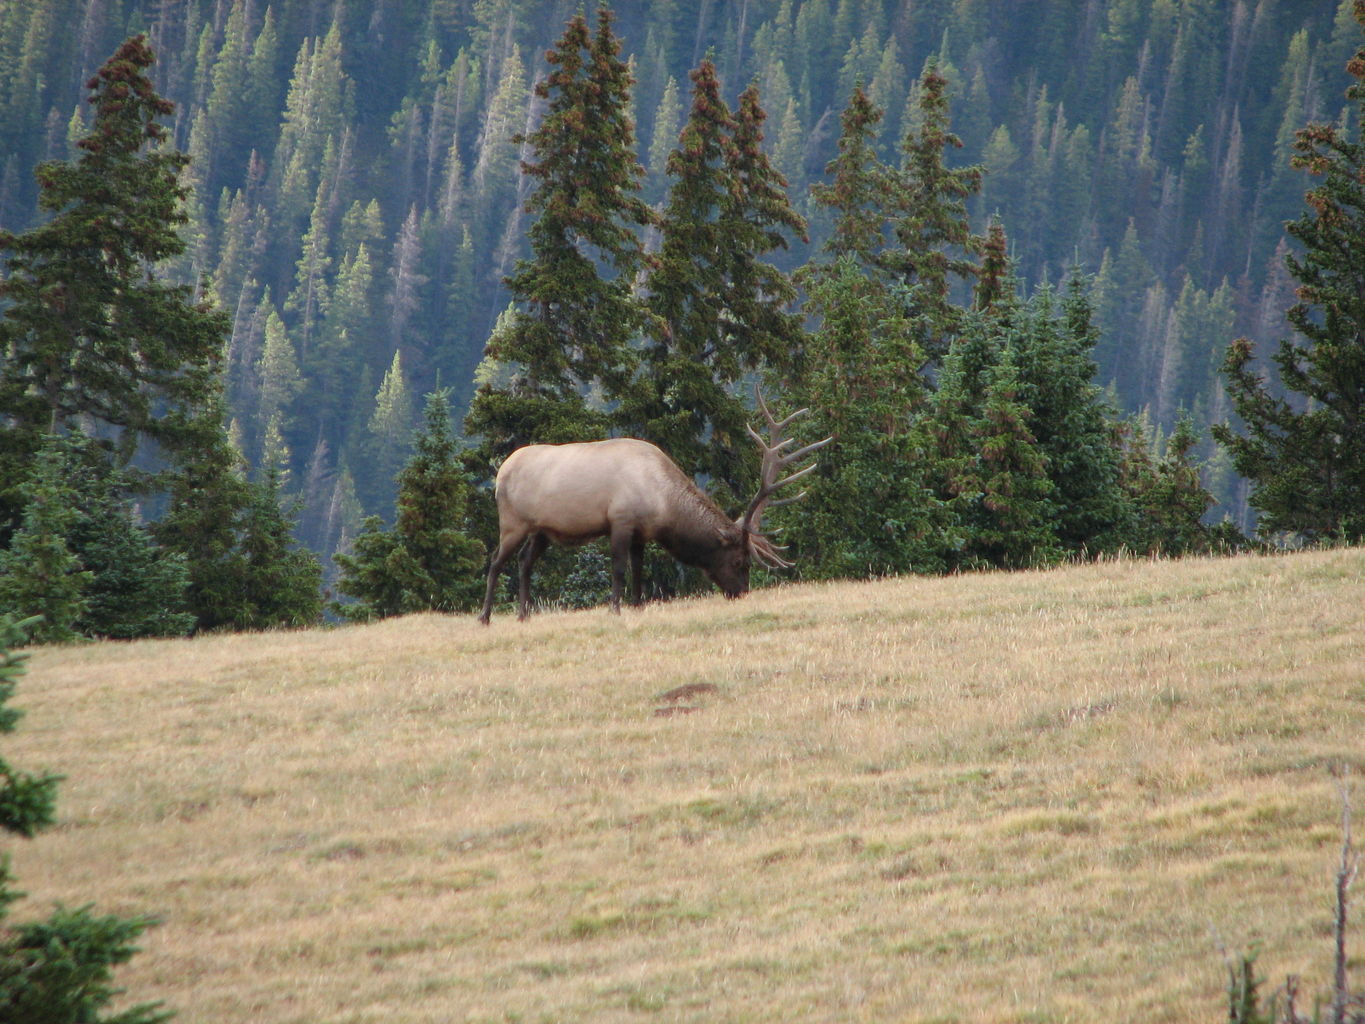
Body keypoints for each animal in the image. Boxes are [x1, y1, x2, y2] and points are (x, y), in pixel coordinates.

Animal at [475, 393, 824, 625]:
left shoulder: (642, 533)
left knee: (524, 562)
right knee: (495, 562)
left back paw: (524, 615)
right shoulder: (620, 520)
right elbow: (618, 568)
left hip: (542, 530)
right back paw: (486, 616)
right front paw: (615, 608)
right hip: (512, 521)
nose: (741, 593)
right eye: (740, 561)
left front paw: (638, 605)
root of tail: (501, 472)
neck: (662, 504)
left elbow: (638, 571)